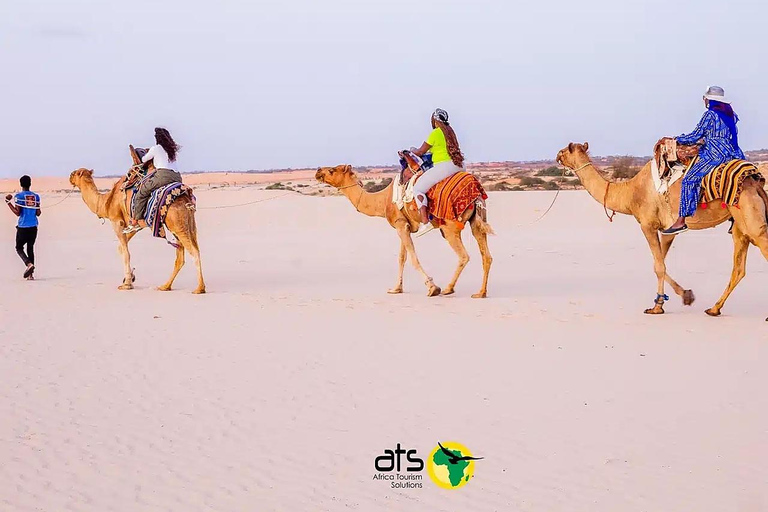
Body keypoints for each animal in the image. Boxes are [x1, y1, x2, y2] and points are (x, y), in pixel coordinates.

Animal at [69, 153, 205, 294]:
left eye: (74, 173)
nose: (69, 177)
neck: (106, 201)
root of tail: (187, 200)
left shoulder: (116, 221)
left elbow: (126, 252)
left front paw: (127, 283)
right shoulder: (133, 225)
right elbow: (121, 248)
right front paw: (130, 277)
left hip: (177, 225)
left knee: (193, 252)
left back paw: (199, 288)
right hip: (186, 223)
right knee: (182, 256)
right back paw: (165, 286)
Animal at [315, 164, 493, 297]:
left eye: (332, 170)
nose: (318, 171)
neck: (382, 200)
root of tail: (475, 191)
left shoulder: (400, 225)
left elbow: (413, 258)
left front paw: (432, 288)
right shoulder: (403, 225)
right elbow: (402, 258)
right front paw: (396, 289)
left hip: (449, 227)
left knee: (464, 256)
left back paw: (448, 288)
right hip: (477, 220)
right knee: (486, 255)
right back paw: (481, 293)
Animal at [557, 142, 768, 317]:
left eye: (566, 149)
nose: (557, 155)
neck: (629, 192)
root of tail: (755, 183)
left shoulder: (647, 224)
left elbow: (658, 266)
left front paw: (663, 305)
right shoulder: (668, 229)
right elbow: (659, 264)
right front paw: (676, 299)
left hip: (748, 215)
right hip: (740, 224)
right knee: (739, 267)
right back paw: (714, 309)